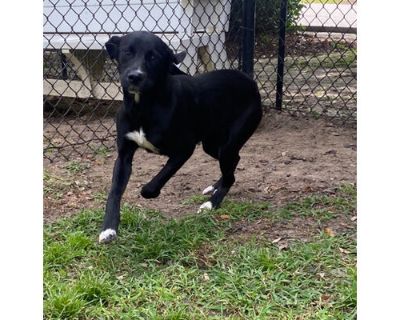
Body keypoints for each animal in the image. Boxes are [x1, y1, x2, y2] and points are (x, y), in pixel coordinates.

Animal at [99, 31, 262, 242]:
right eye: (127, 52)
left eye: (154, 57)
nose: (135, 76)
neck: (143, 107)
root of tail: (250, 81)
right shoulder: (124, 155)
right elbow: (114, 192)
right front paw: (108, 228)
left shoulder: (184, 150)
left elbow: (155, 182)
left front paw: (148, 192)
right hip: (212, 144)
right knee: (235, 161)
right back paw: (215, 187)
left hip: (227, 145)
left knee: (231, 174)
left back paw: (212, 203)